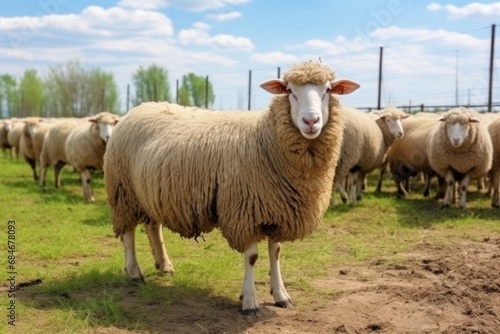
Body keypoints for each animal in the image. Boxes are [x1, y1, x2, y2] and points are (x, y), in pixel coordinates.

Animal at [102, 61, 360, 314]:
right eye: (289, 91)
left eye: (327, 90)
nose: (311, 121)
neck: (265, 140)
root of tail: (137, 108)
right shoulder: (245, 212)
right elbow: (253, 257)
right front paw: (249, 301)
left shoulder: (278, 211)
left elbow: (275, 253)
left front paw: (281, 296)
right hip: (123, 191)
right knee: (128, 233)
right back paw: (134, 272)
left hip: (151, 192)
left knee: (154, 226)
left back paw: (164, 265)